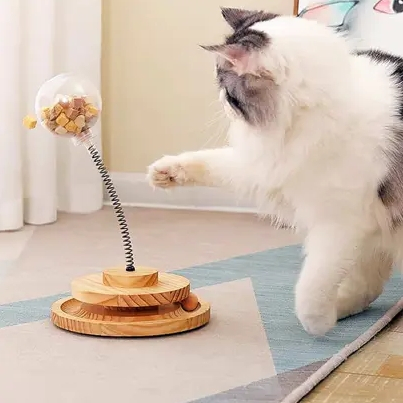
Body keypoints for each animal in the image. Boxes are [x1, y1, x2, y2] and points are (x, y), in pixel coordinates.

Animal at [147, 8, 403, 336]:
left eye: (228, 92)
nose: (221, 102)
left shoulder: (339, 224)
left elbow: (311, 290)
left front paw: (320, 322)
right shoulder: (267, 166)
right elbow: (209, 162)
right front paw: (164, 172)